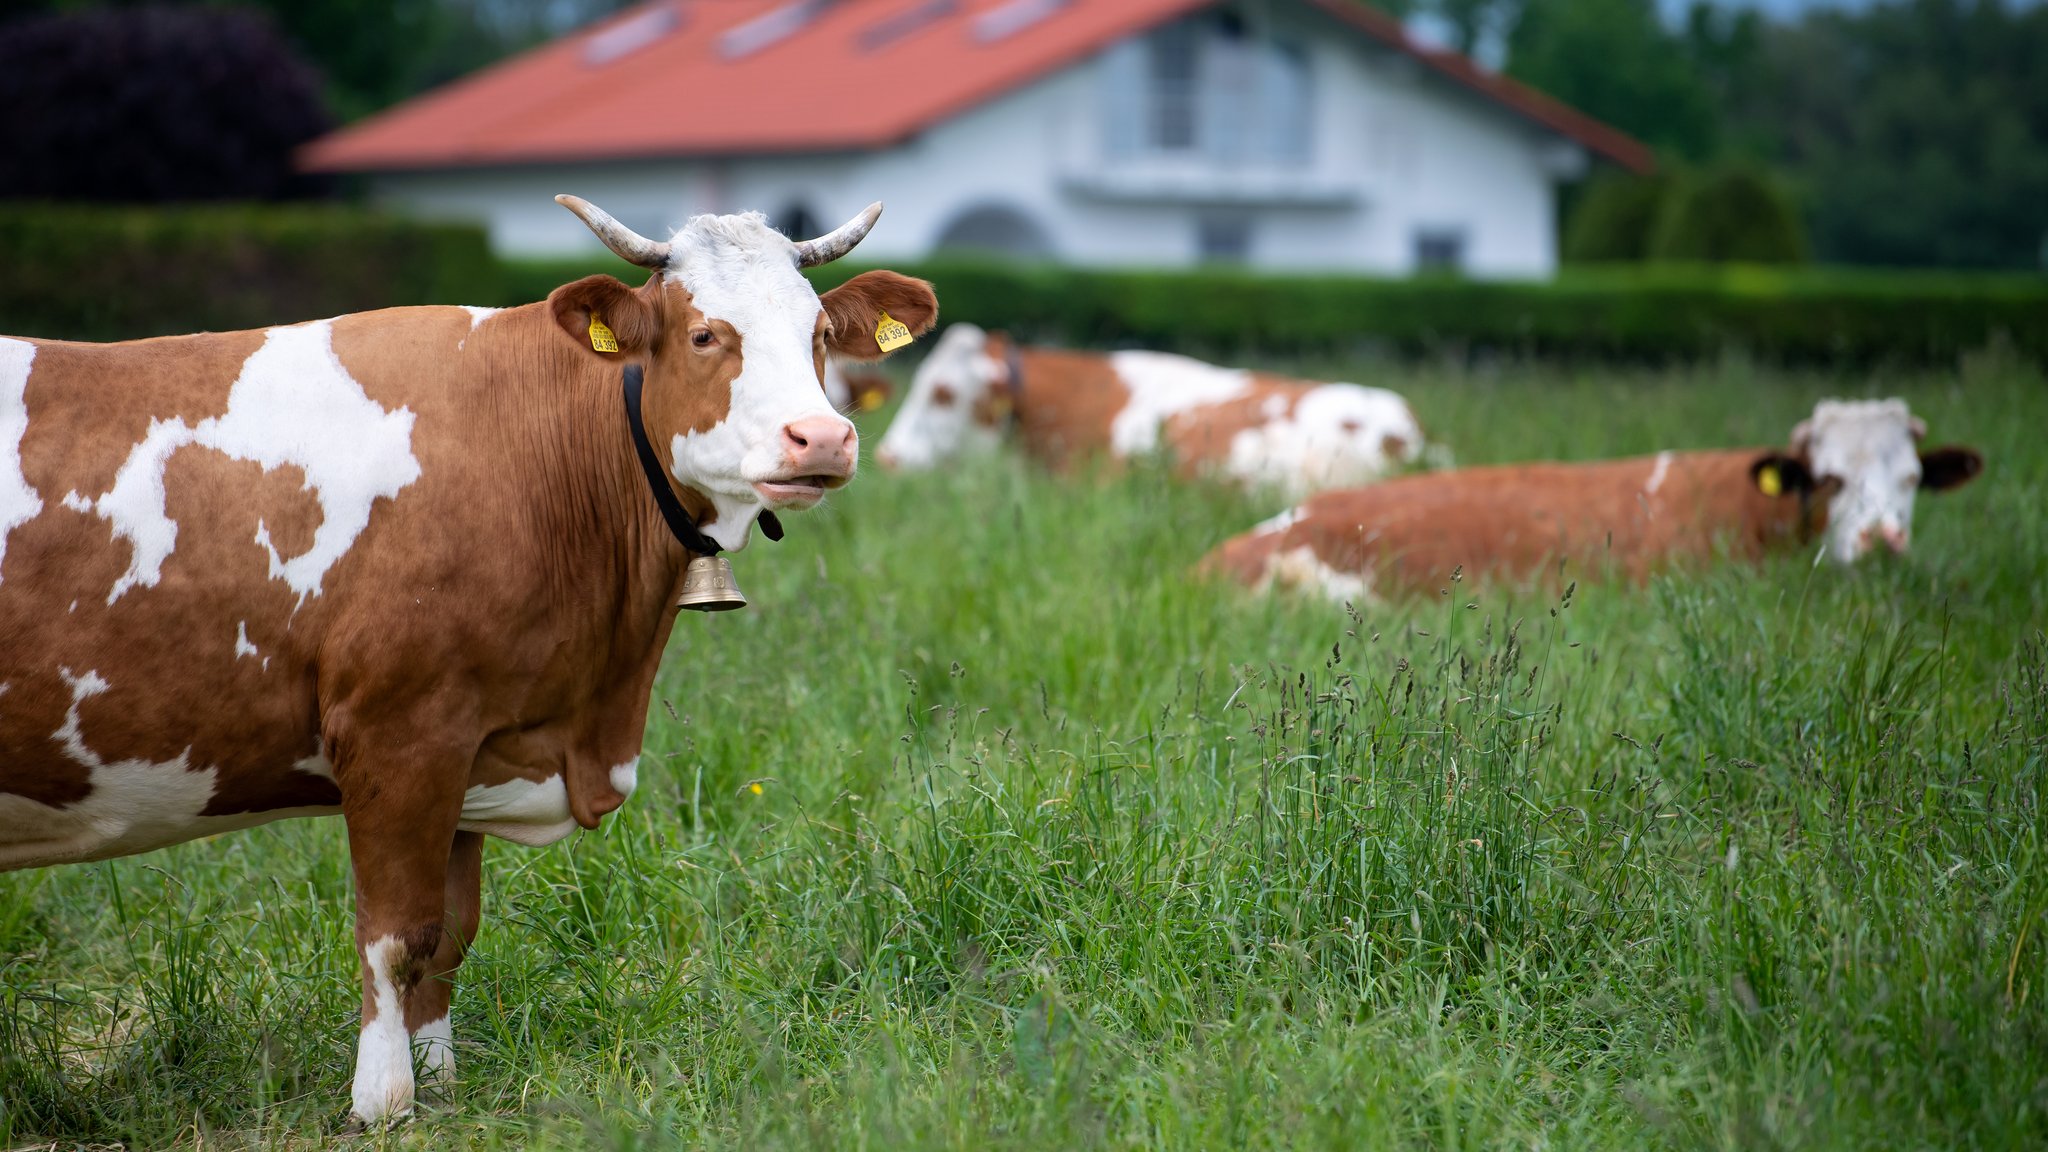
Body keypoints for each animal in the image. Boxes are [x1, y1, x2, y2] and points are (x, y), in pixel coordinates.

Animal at [0, 194, 937, 1123]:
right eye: (706, 334)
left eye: (819, 332)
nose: (821, 438)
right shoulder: (399, 733)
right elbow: (396, 936)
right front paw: (383, 1102)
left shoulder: (473, 743)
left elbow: (451, 934)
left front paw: (440, 1079)